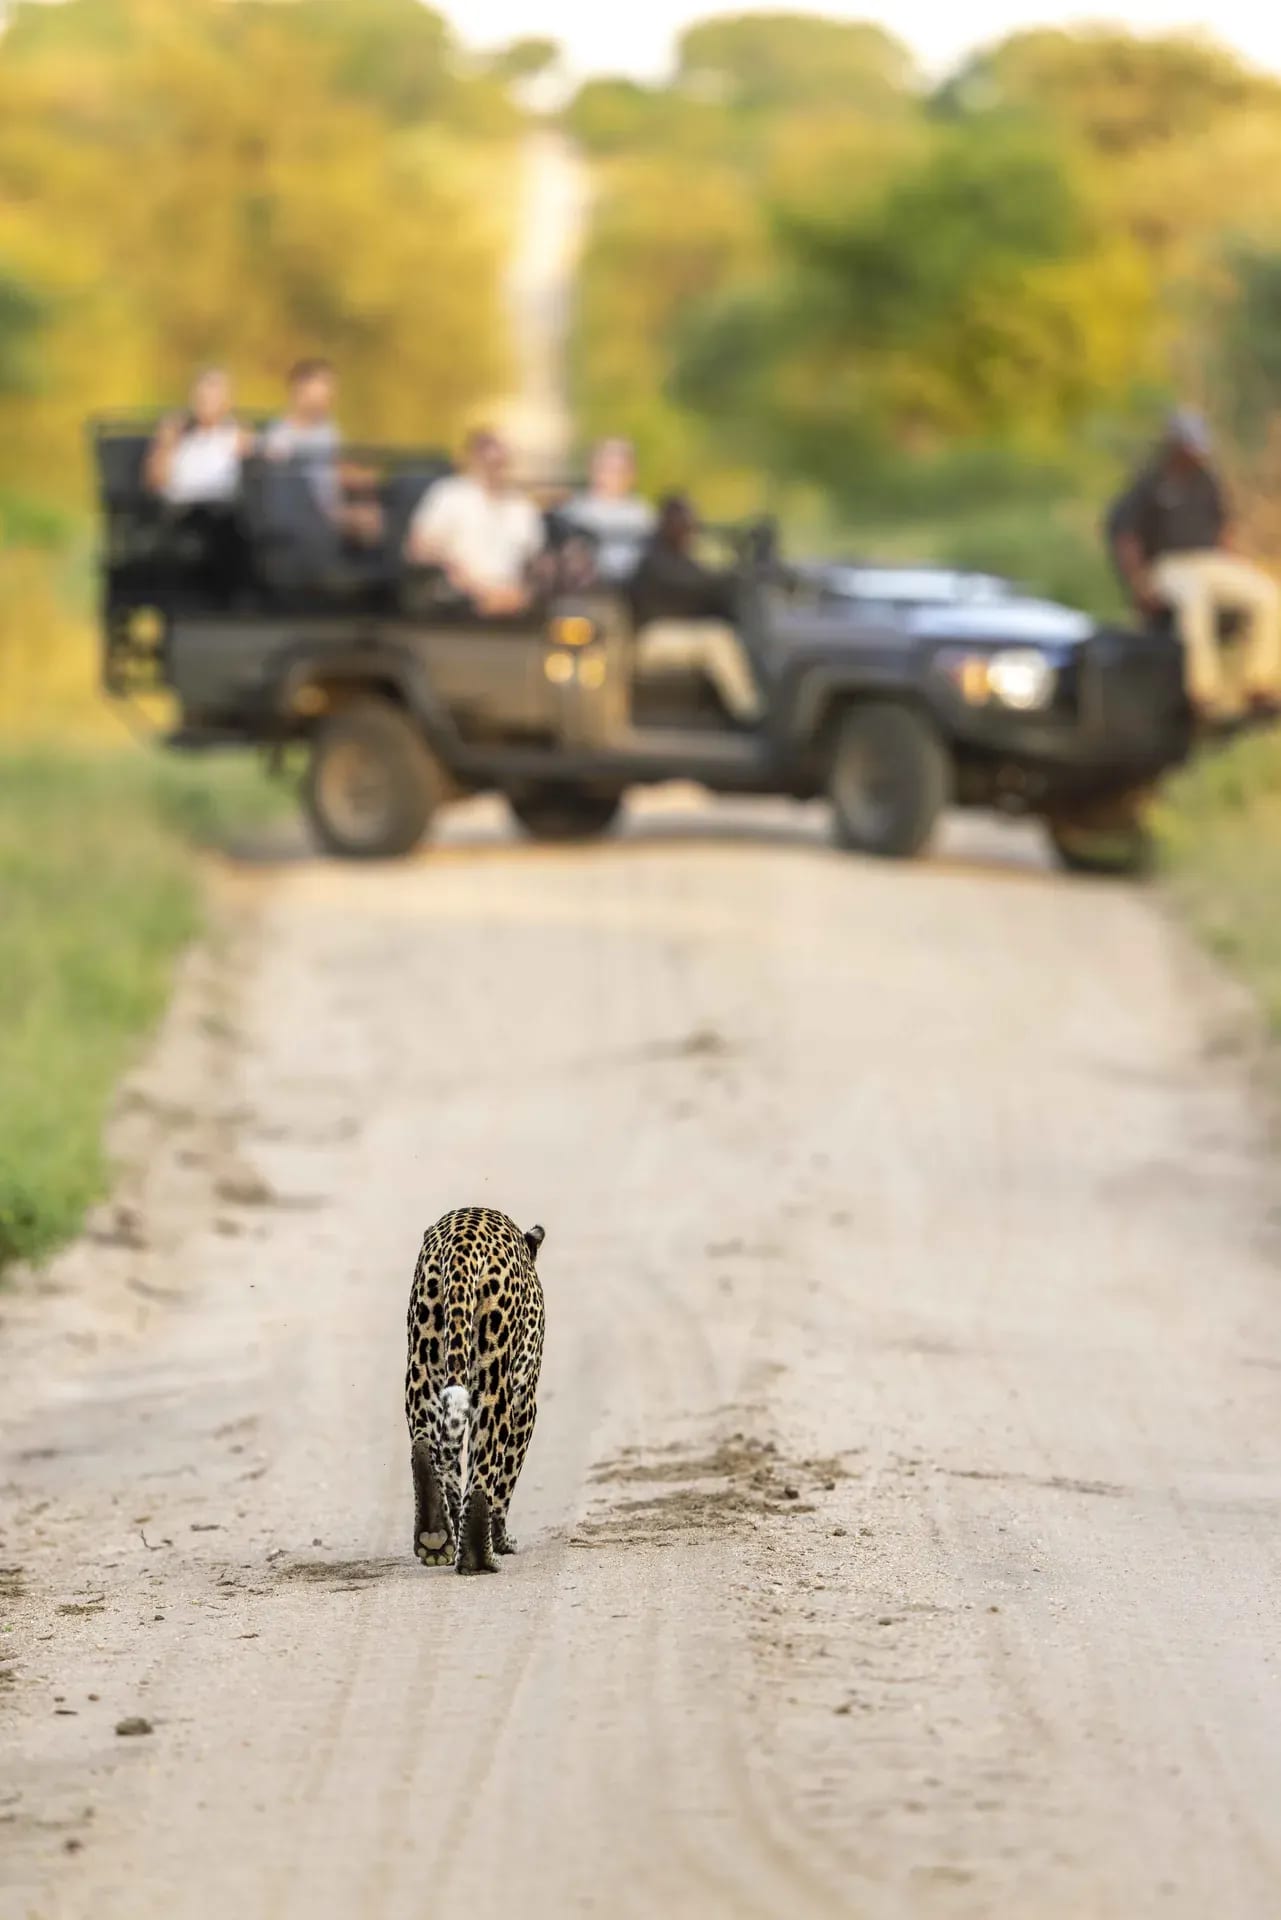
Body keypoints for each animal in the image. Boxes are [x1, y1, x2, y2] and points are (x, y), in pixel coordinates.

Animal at [405, 1206, 545, 1575]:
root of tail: (463, 1245)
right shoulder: (526, 1401)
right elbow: (507, 1475)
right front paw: (502, 1539)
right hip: (494, 1373)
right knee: (485, 1466)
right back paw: (478, 1557)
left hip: (423, 1358)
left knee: (426, 1446)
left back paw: (435, 1536)